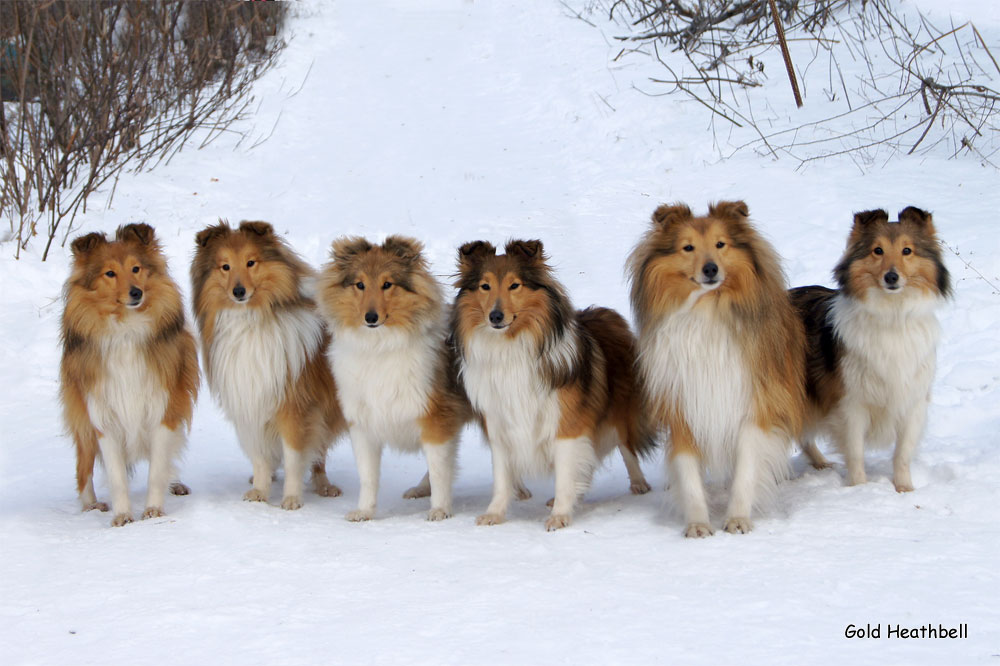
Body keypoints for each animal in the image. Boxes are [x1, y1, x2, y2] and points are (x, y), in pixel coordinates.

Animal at [61, 223, 199, 524]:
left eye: (136, 268)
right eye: (109, 273)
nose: (136, 293)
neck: (126, 329)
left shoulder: (163, 408)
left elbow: (157, 469)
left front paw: (153, 511)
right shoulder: (104, 417)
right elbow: (116, 477)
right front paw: (123, 516)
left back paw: (175, 483)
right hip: (83, 423)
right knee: (83, 467)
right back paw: (91, 505)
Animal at [192, 220, 348, 506]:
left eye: (251, 262)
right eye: (225, 266)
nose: (239, 291)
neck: (250, 320)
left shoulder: (295, 406)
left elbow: (295, 456)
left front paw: (292, 499)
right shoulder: (251, 402)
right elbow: (260, 458)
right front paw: (260, 492)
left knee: (319, 451)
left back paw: (324, 485)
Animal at [454, 239, 656, 528]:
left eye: (515, 285)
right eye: (485, 286)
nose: (495, 316)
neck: (511, 348)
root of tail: (607, 313)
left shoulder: (566, 423)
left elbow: (564, 472)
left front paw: (560, 515)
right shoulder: (499, 424)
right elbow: (502, 478)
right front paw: (494, 513)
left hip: (619, 411)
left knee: (626, 447)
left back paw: (639, 483)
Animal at [628, 201, 808, 536]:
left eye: (720, 244)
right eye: (688, 247)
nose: (710, 269)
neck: (706, 310)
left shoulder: (751, 405)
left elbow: (746, 469)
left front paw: (737, 518)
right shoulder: (684, 405)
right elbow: (689, 475)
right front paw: (698, 524)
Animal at [792, 205, 948, 490]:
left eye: (907, 250)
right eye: (878, 250)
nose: (891, 277)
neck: (892, 317)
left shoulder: (912, 402)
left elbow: (902, 453)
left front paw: (904, 489)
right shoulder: (851, 404)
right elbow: (855, 452)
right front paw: (859, 489)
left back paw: (821, 463)